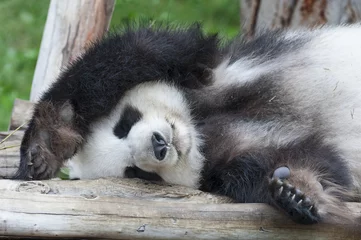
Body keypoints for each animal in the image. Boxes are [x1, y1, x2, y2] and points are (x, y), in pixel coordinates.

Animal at [15, 21, 360, 226]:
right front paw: (297, 192)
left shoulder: (201, 70)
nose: (159, 145)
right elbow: (297, 159)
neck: (199, 129)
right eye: (136, 173)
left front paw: (43, 147)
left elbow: (131, 54)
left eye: (123, 125)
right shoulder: (222, 165)